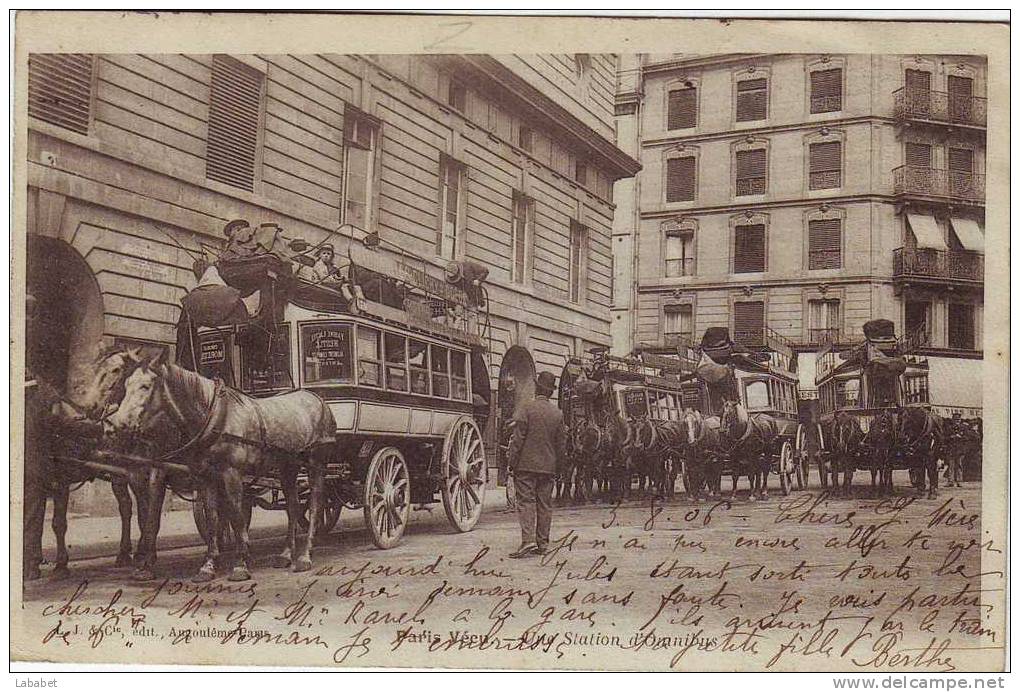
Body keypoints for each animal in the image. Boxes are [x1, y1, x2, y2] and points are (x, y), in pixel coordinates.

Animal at [106, 353, 334, 583]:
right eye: (126, 385)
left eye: (145, 386)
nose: (114, 425)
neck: (215, 417)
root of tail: (316, 398)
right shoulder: (206, 477)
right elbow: (213, 518)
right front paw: (208, 565)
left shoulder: (231, 474)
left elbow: (235, 514)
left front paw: (241, 564)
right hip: (288, 467)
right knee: (293, 507)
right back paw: (286, 554)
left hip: (316, 464)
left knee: (316, 503)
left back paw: (305, 555)